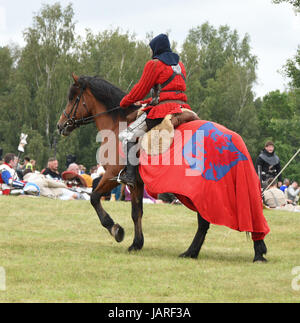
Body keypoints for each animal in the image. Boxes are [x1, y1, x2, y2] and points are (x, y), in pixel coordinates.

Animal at [57, 74, 268, 264]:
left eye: (73, 98)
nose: (61, 126)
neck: (118, 123)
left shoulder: (113, 175)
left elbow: (94, 198)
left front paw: (116, 229)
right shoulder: (136, 183)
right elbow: (136, 212)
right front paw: (136, 243)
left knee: (204, 221)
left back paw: (192, 252)